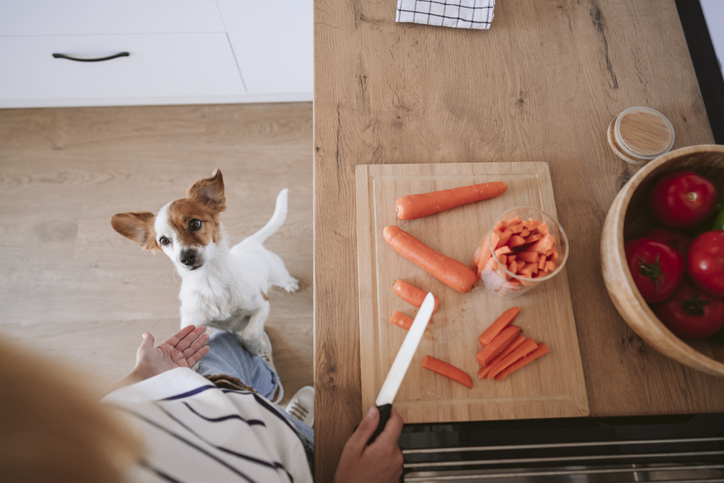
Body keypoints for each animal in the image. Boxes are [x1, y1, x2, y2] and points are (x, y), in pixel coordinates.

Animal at [110, 170, 296, 356]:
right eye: (163, 241)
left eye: (195, 223)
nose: (186, 257)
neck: (210, 280)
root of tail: (249, 242)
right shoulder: (192, 323)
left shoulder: (262, 304)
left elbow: (251, 331)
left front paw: (255, 347)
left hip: (278, 273)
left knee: (284, 279)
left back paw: (291, 284)